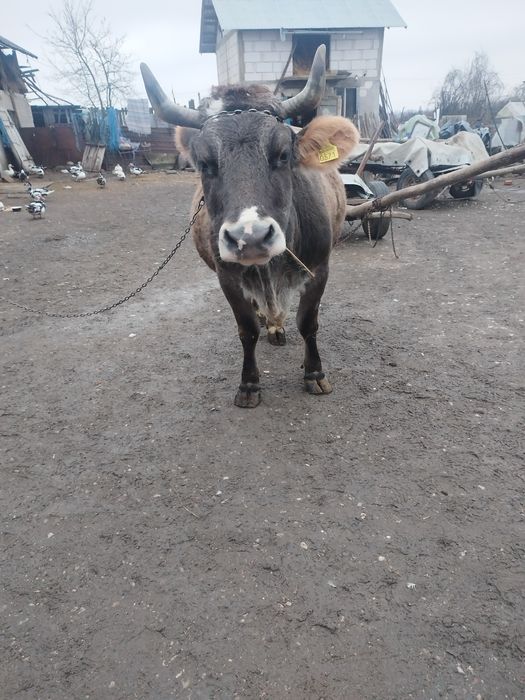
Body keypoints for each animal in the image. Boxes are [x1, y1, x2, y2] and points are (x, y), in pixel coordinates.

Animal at [140, 45, 359, 407]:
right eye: (205, 163)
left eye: (283, 154)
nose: (250, 237)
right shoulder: (226, 277)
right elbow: (247, 331)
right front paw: (249, 384)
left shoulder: (319, 269)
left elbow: (308, 323)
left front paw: (314, 373)